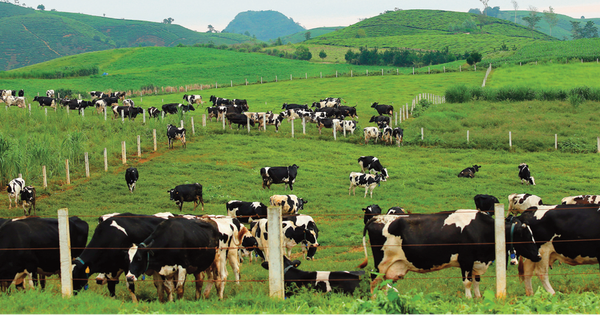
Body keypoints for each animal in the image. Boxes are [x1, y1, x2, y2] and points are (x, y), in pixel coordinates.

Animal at [358, 210, 540, 298]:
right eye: (525, 235)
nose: (538, 256)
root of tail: (376, 218)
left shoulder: (476, 261)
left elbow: (476, 281)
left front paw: (478, 297)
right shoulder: (466, 259)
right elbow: (467, 282)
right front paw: (468, 299)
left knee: (383, 284)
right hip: (381, 264)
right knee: (373, 281)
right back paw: (374, 301)